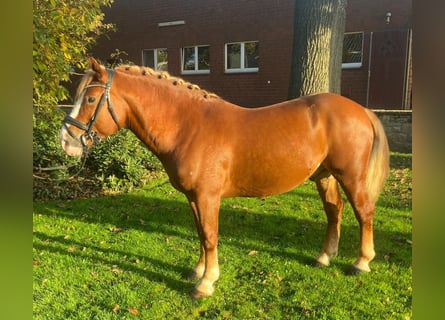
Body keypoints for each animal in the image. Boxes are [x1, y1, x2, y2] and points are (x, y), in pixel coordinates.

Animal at [59, 57, 388, 298]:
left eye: (91, 99)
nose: (66, 140)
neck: (187, 126)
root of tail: (361, 110)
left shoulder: (207, 197)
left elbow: (210, 235)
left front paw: (206, 283)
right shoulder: (194, 198)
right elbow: (200, 234)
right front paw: (198, 271)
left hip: (350, 177)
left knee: (363, 212)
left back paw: (361, 262)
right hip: (324, 176)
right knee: (335, 211)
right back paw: (324, 257)